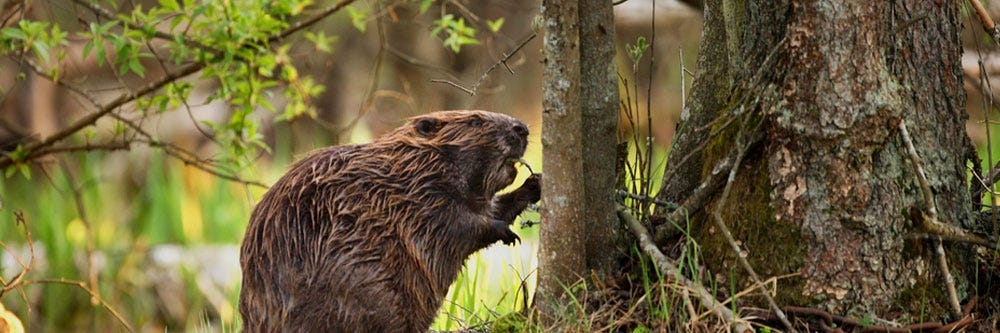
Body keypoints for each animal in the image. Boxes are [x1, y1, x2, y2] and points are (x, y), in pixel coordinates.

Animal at [239, 110, 544, 330]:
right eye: (475, 120)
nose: (522, 128)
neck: (409, 167)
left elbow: (491, 208)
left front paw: (535, 184)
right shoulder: (418, 199)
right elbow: (456, 226)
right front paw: (507, 233)